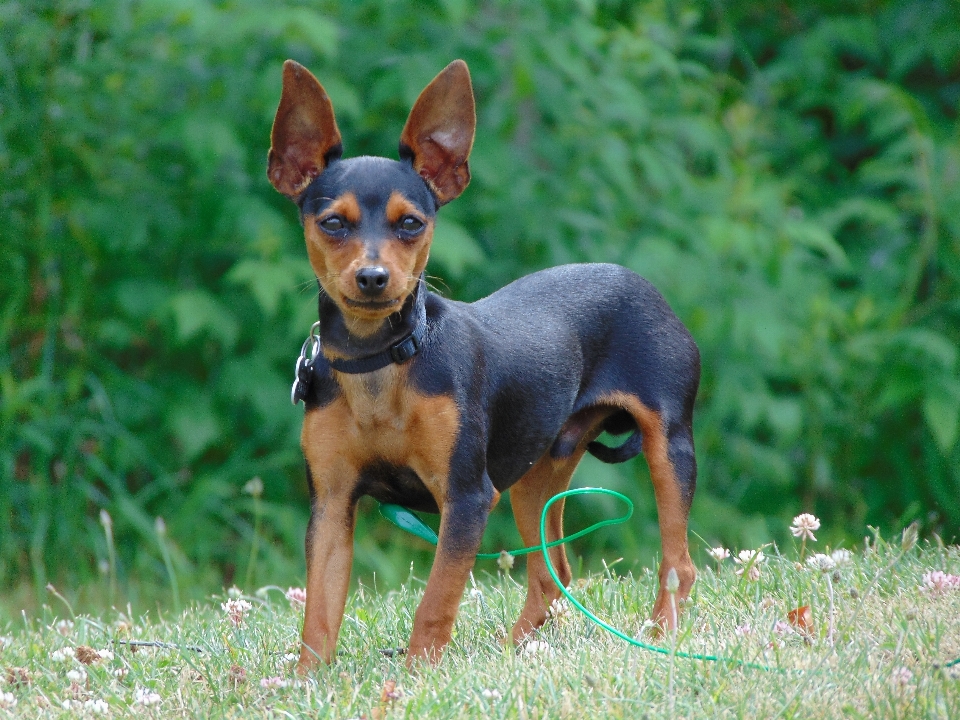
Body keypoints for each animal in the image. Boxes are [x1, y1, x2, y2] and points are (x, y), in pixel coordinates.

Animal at [266, 57, 700, 668]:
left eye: (410, 223)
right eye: (332, 223)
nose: (373, 278)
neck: (382, 362)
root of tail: (641, 284)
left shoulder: (468, 499)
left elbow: (435, 603)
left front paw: (417, 673)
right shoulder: (331, 505)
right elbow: (319, 618)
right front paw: (307, 680)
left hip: (668, 446)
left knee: (676, 565)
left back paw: (660, 635)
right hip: (535, 476)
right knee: (552, 573)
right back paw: (517, 649)